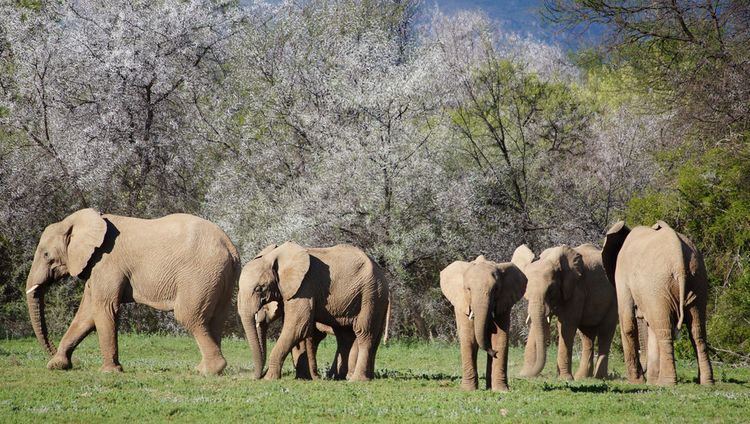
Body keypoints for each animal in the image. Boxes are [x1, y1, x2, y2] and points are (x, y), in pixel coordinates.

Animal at [24, 208, 241, 374]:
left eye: (46, 255)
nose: (51, 351)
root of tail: (230, 246)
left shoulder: (107, 262)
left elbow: (105, 308)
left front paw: (109, 372)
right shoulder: (94, 266)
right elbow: (86, 315)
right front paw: (57, 365)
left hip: (200, 274)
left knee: (188, 315)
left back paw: (209, 370)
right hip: (219, 277)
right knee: (215, 318)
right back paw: (205, 368)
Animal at [239, 242, 390, 380]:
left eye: (259, 289)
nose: (256, 377)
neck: (275, 256)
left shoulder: (304, 287)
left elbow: (298, 326)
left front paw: (269, 379)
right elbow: (300, 332)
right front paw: (303, 378)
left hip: (371, 295)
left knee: (363, 333)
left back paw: (355, 380)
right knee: (346, 336)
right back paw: (337, 377)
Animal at [440, 255, 528, 390]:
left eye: (496, 289)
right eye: (468, 289)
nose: (494, 352)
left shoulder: (504, 302)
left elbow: (500, 337)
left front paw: (501, 391)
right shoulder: (462, 303)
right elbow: (469, 337)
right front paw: (468, 390)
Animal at [604, 220, 716, 386]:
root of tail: (678, 259)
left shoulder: (622, 275)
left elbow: (628, 323)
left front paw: (637, 382)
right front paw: (649, 382)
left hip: (659, 285)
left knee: (665, 330)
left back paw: (666, 383)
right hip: (697, 279)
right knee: (697, 331)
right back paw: (706, 382)